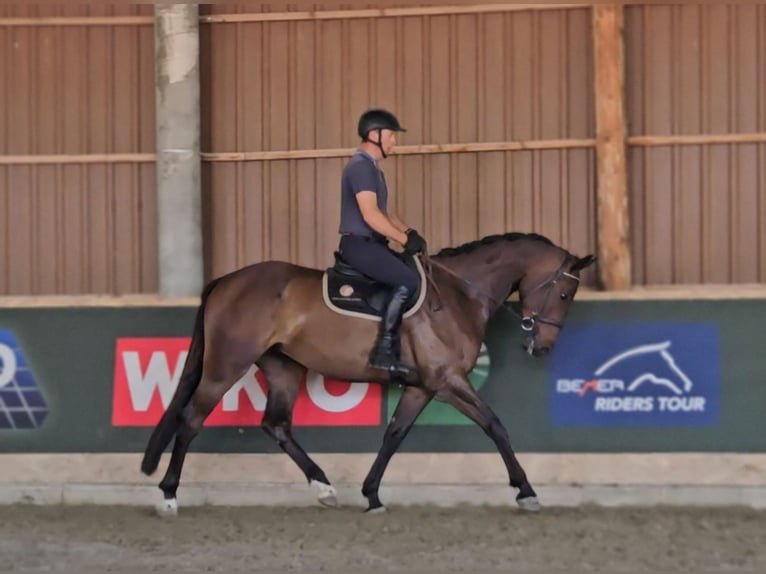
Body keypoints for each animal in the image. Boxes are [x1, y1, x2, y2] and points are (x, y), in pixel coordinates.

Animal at [141, 233, 596, 516]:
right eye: (564, 292)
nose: (542, 347)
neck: (458, 295)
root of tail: (225, 280)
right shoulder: (448, 382)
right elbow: (495, 426)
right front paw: (526, 491)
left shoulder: (422, 388)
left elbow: (394, 435)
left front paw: (372, 494)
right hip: (226, 366)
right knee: (191, 420)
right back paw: (168, 495)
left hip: (284, 367)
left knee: (276, 425)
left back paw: (323, 487)